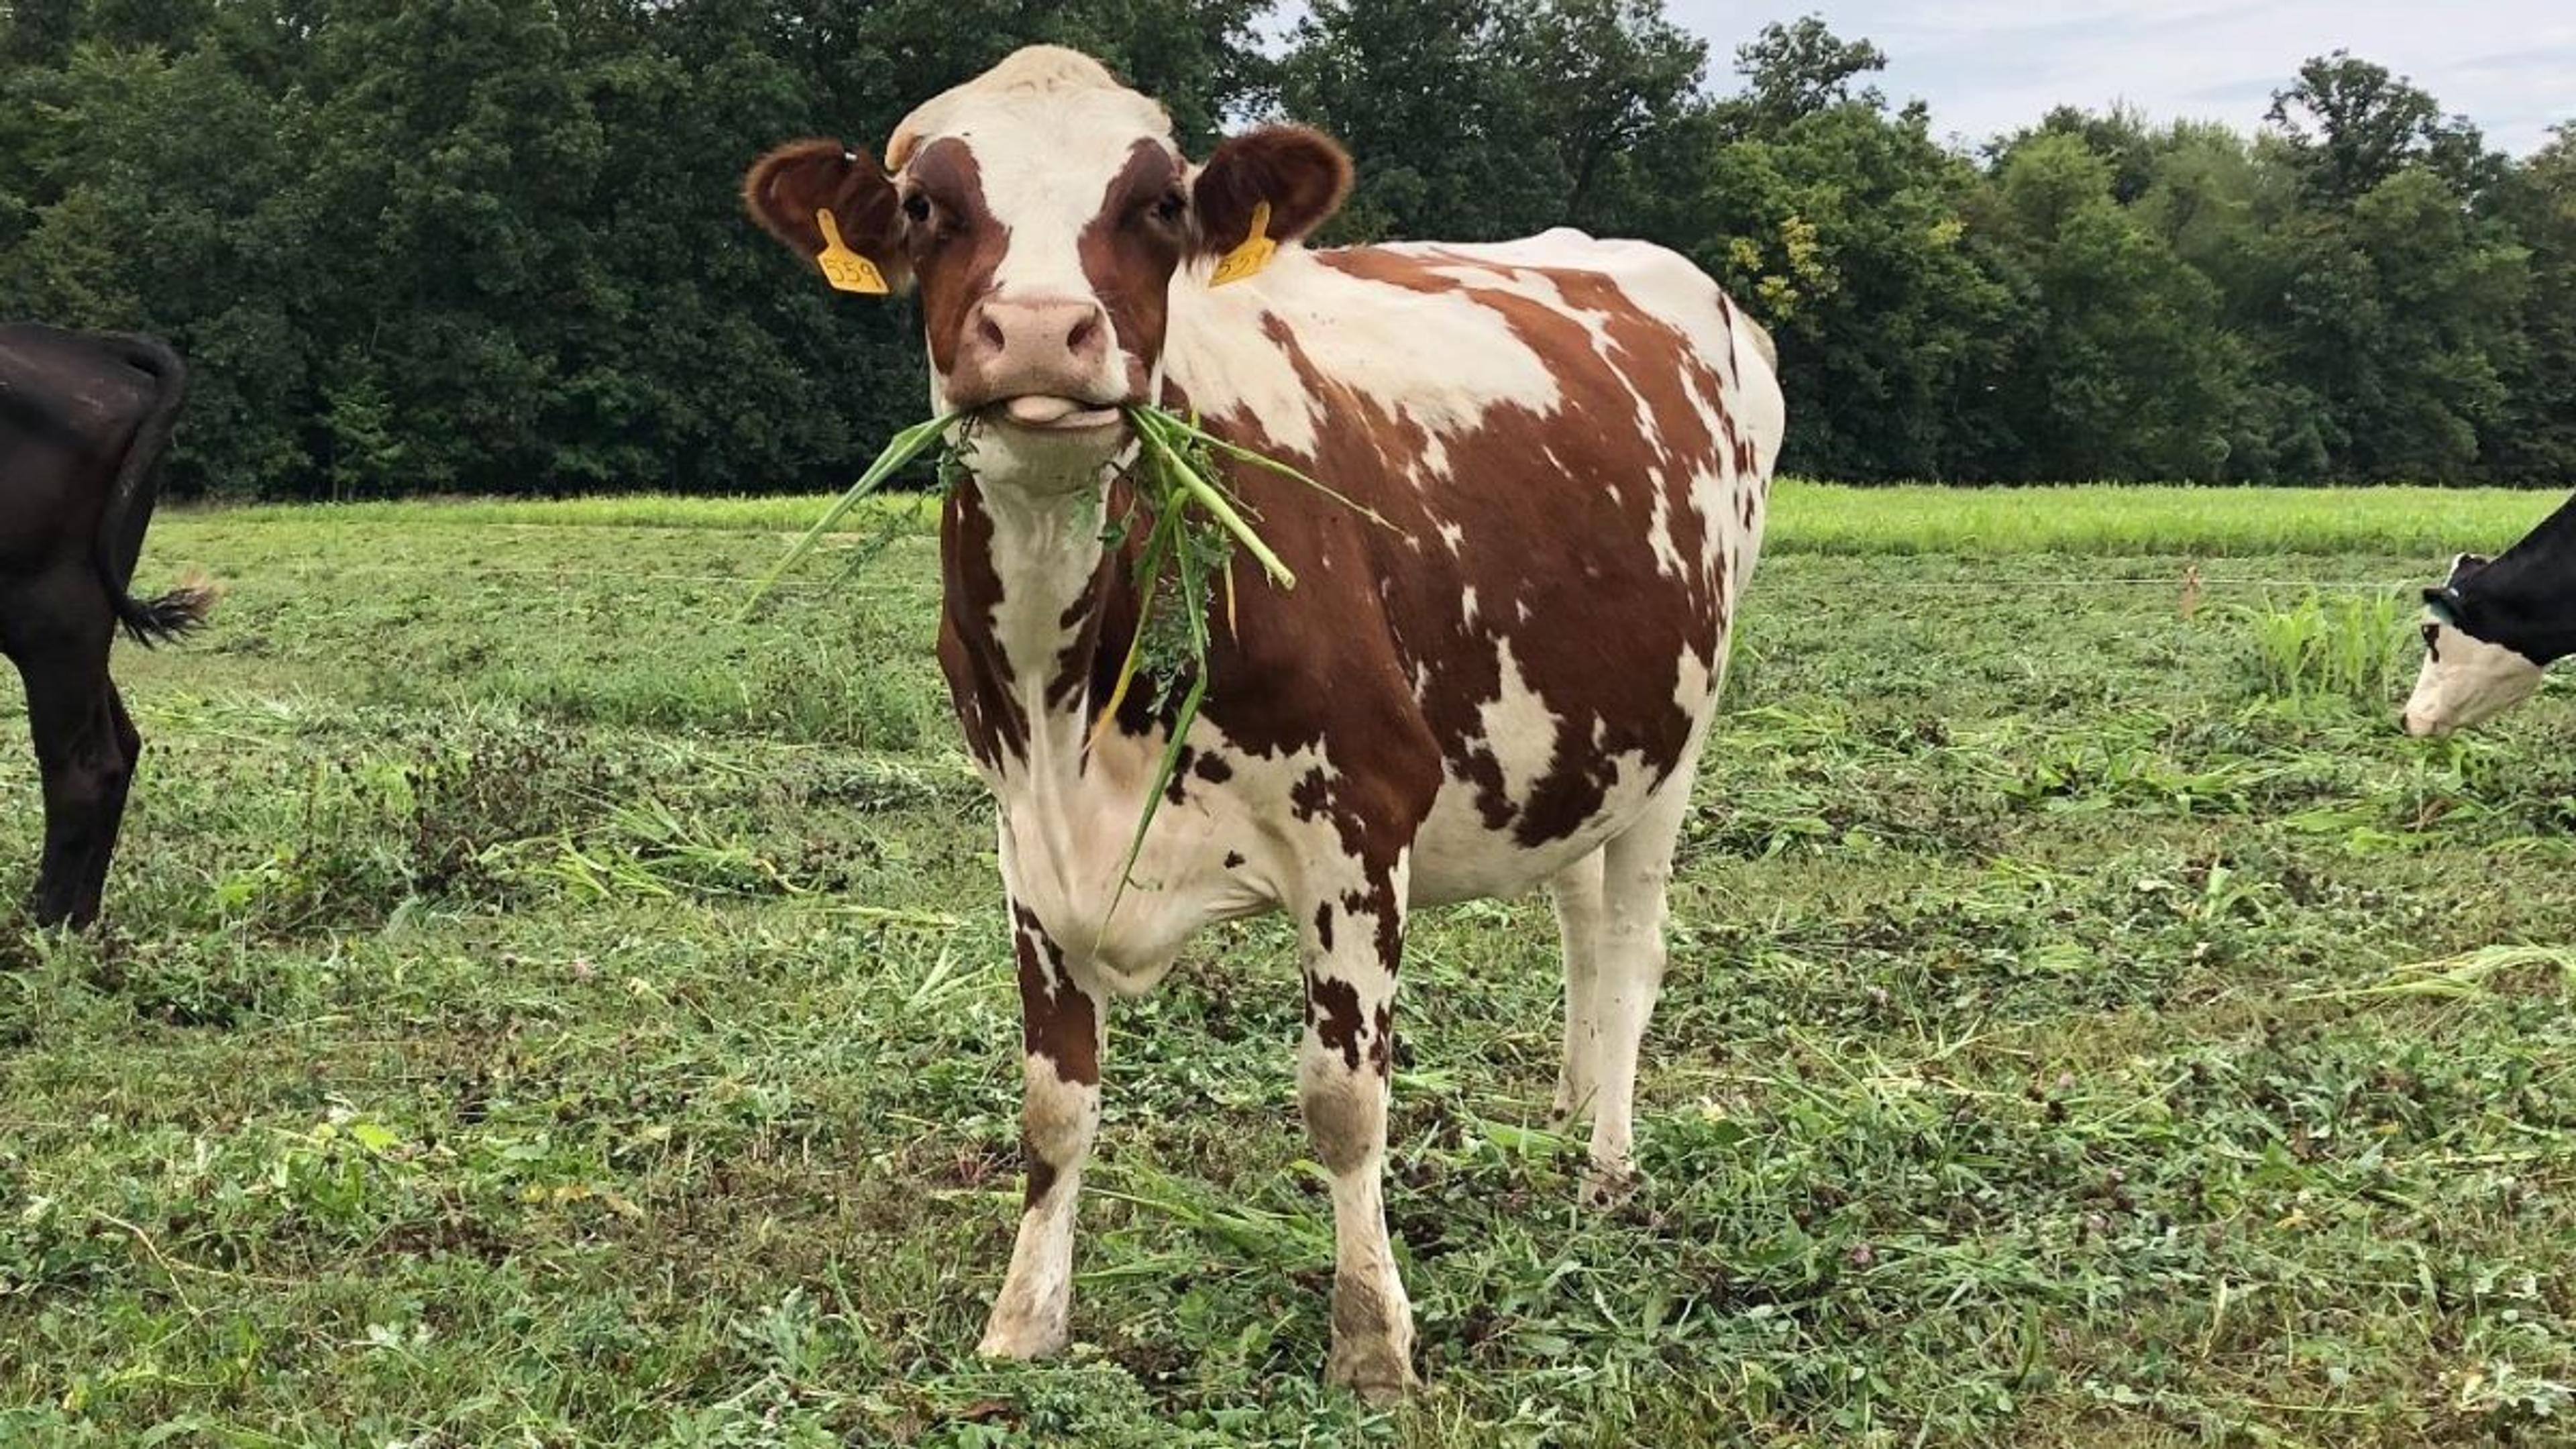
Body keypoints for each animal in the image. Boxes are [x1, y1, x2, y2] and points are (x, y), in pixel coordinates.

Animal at [1, 323, 211, 929]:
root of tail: (97, 347)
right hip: (84, 624)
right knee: (122, 746)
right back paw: (79, 915)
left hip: (48, 615)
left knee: (81, 772)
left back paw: (43, 923)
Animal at [742, 47, 1783, 1397]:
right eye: (926, 206)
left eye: (1161, 204)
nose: (1041, 333)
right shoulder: (1024, 838)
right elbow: (1052, 1104)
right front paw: (1025, 1321)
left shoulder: (1362, 822)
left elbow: (1343, 1104)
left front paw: (1372, 1340)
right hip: (1573, 734)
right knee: (1577, 925)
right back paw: (1559, 1118)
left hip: (1678, 735)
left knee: (1631, 945)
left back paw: (1606, 1164)